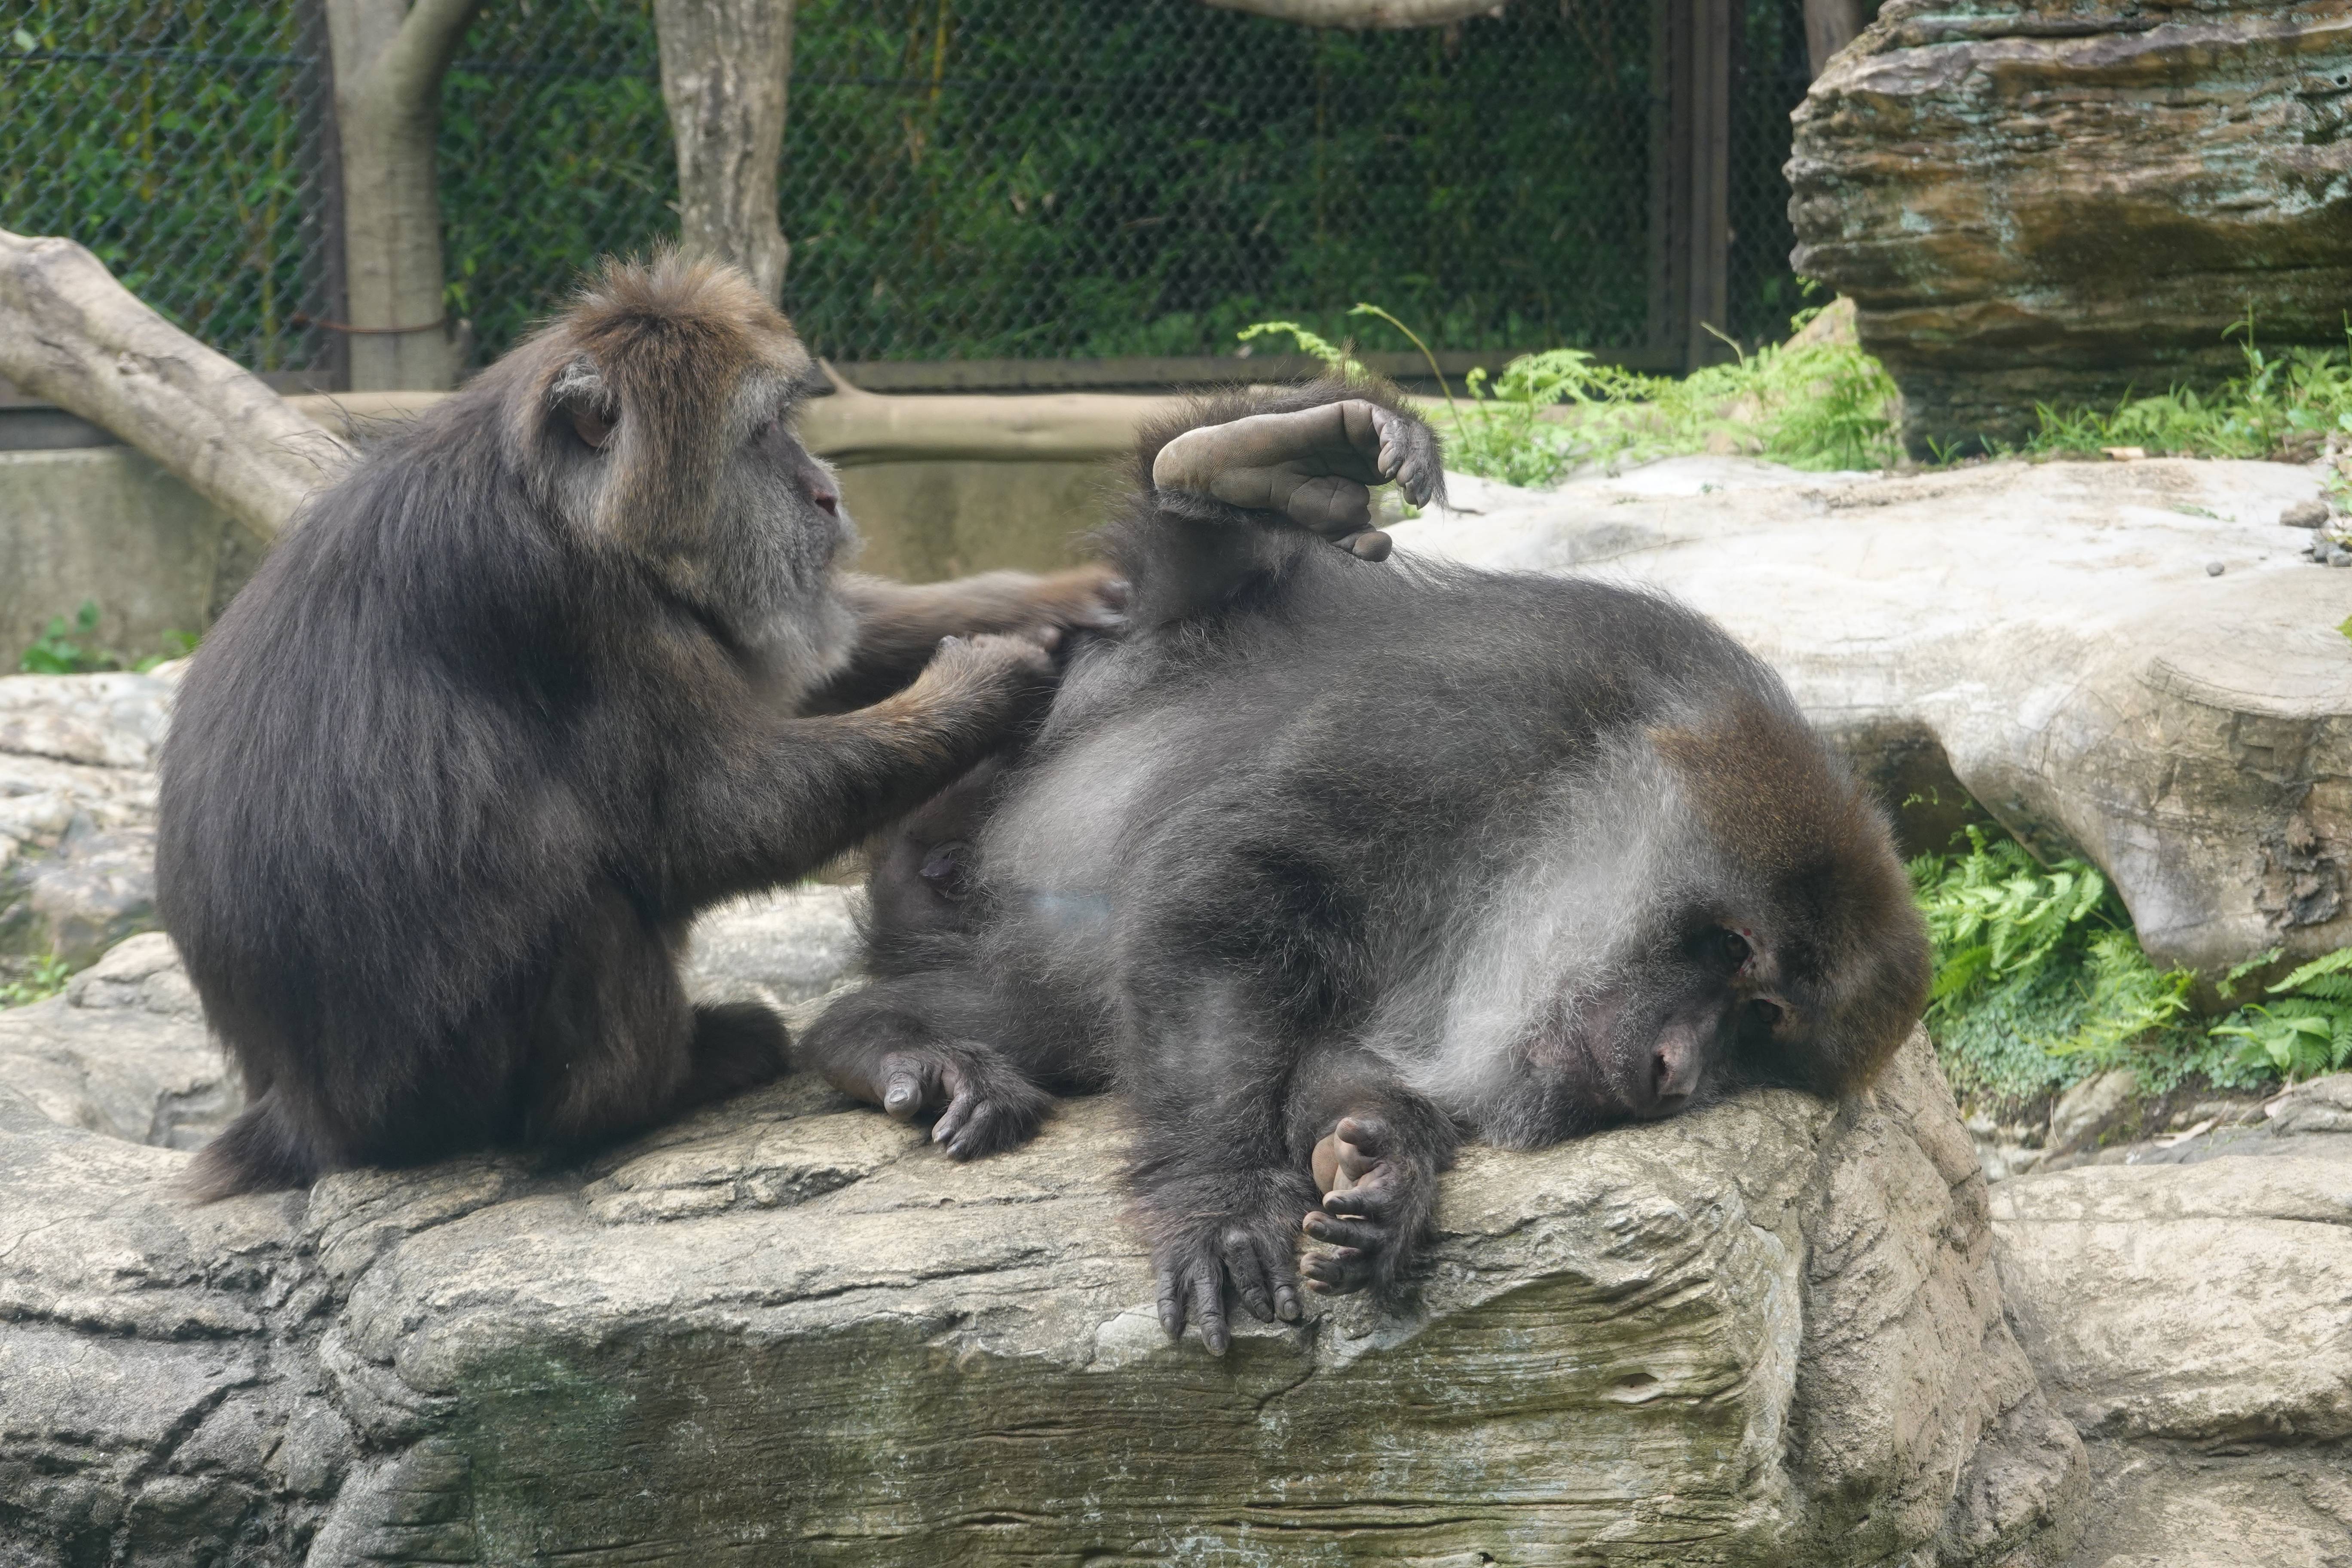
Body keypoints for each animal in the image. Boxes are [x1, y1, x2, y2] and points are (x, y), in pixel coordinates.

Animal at [799, 381, 1919, 1354]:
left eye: (1761, 1023)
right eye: (1729, 950)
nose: (1677, 1071)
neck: (1522, 850)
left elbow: (1333, 1052)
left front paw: (1381, 1164)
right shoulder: (1494, 706)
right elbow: (1222, 885)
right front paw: (1223, 1191)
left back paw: (880, 1042)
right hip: (1050, 703)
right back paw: (1250, 470)